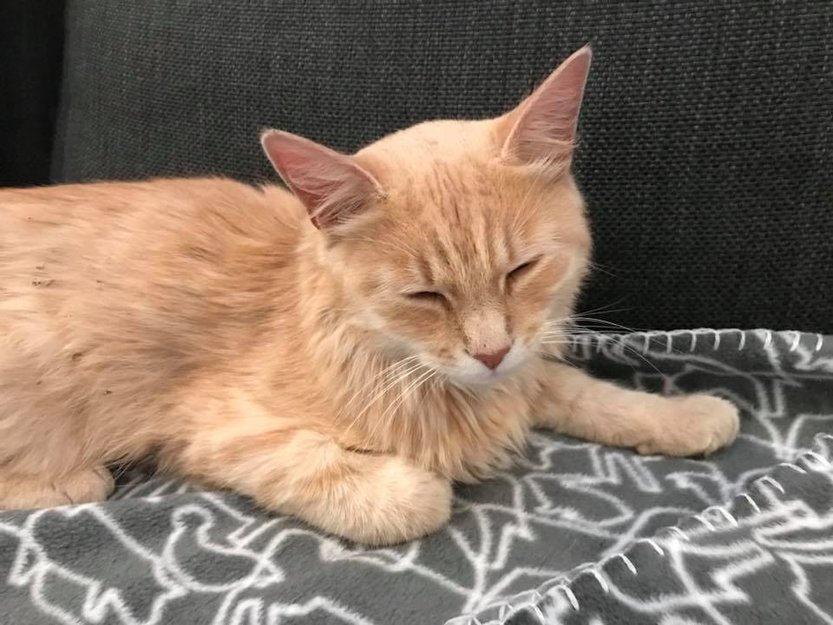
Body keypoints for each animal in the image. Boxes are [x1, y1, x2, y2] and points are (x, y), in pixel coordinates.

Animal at [0, 46, 738, 545]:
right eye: (425, 295)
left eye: (520, 270)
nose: (491, 352)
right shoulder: (215, 427)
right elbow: (375, 487)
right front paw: (411, 483)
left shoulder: (522, 371)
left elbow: (581, 391)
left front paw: (681, 415)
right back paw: (73, 477)